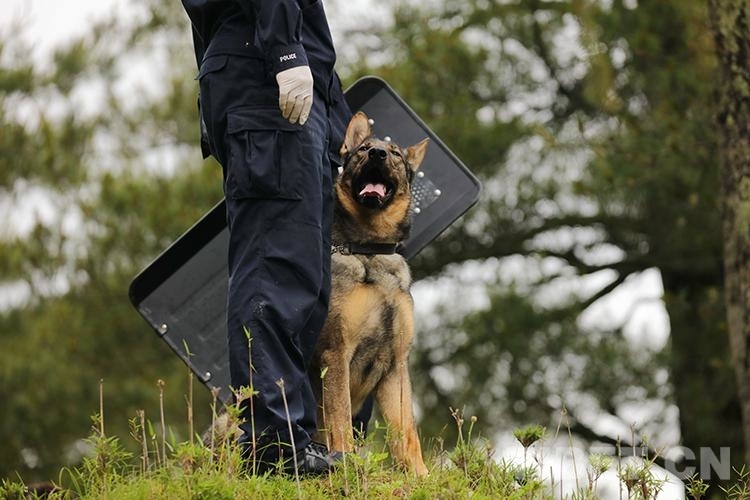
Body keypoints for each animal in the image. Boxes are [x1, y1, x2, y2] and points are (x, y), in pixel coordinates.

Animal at [309, 111, 430, 476]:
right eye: (363, 149)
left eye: (395, 154)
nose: (376, 154)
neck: (369, 251)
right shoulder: (336, 354)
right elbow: (340, 420)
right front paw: (345, 461)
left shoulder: (396, 366)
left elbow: (407, 433)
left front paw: (421, 476)